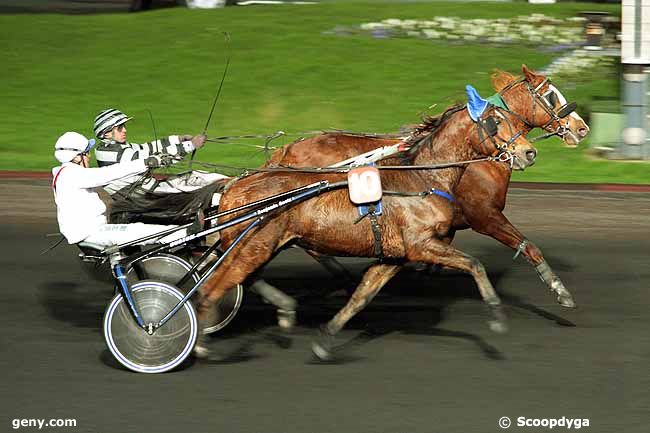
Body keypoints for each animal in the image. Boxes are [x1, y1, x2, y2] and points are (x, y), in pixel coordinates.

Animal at [196, 101, 536, 358]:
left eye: (512, 119)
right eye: (496, 122)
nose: (529, 152)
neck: (422, 179)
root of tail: (233, 185)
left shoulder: (394, 257)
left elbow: (362, 296)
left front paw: (325, 339)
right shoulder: (422, 244)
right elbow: (474, 264)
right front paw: (496, 315)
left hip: (259, 246)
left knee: (244, 278)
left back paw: (284, 309)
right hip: (252, 245)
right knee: (211, 288)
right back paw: (200, 342)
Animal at [264, 64, 588, 308]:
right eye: (550, 96)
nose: (581, 127)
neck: (472, 154)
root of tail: (286, 150)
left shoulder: (444, 223)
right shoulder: (485, 215)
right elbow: (529, 246)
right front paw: (561, 291)